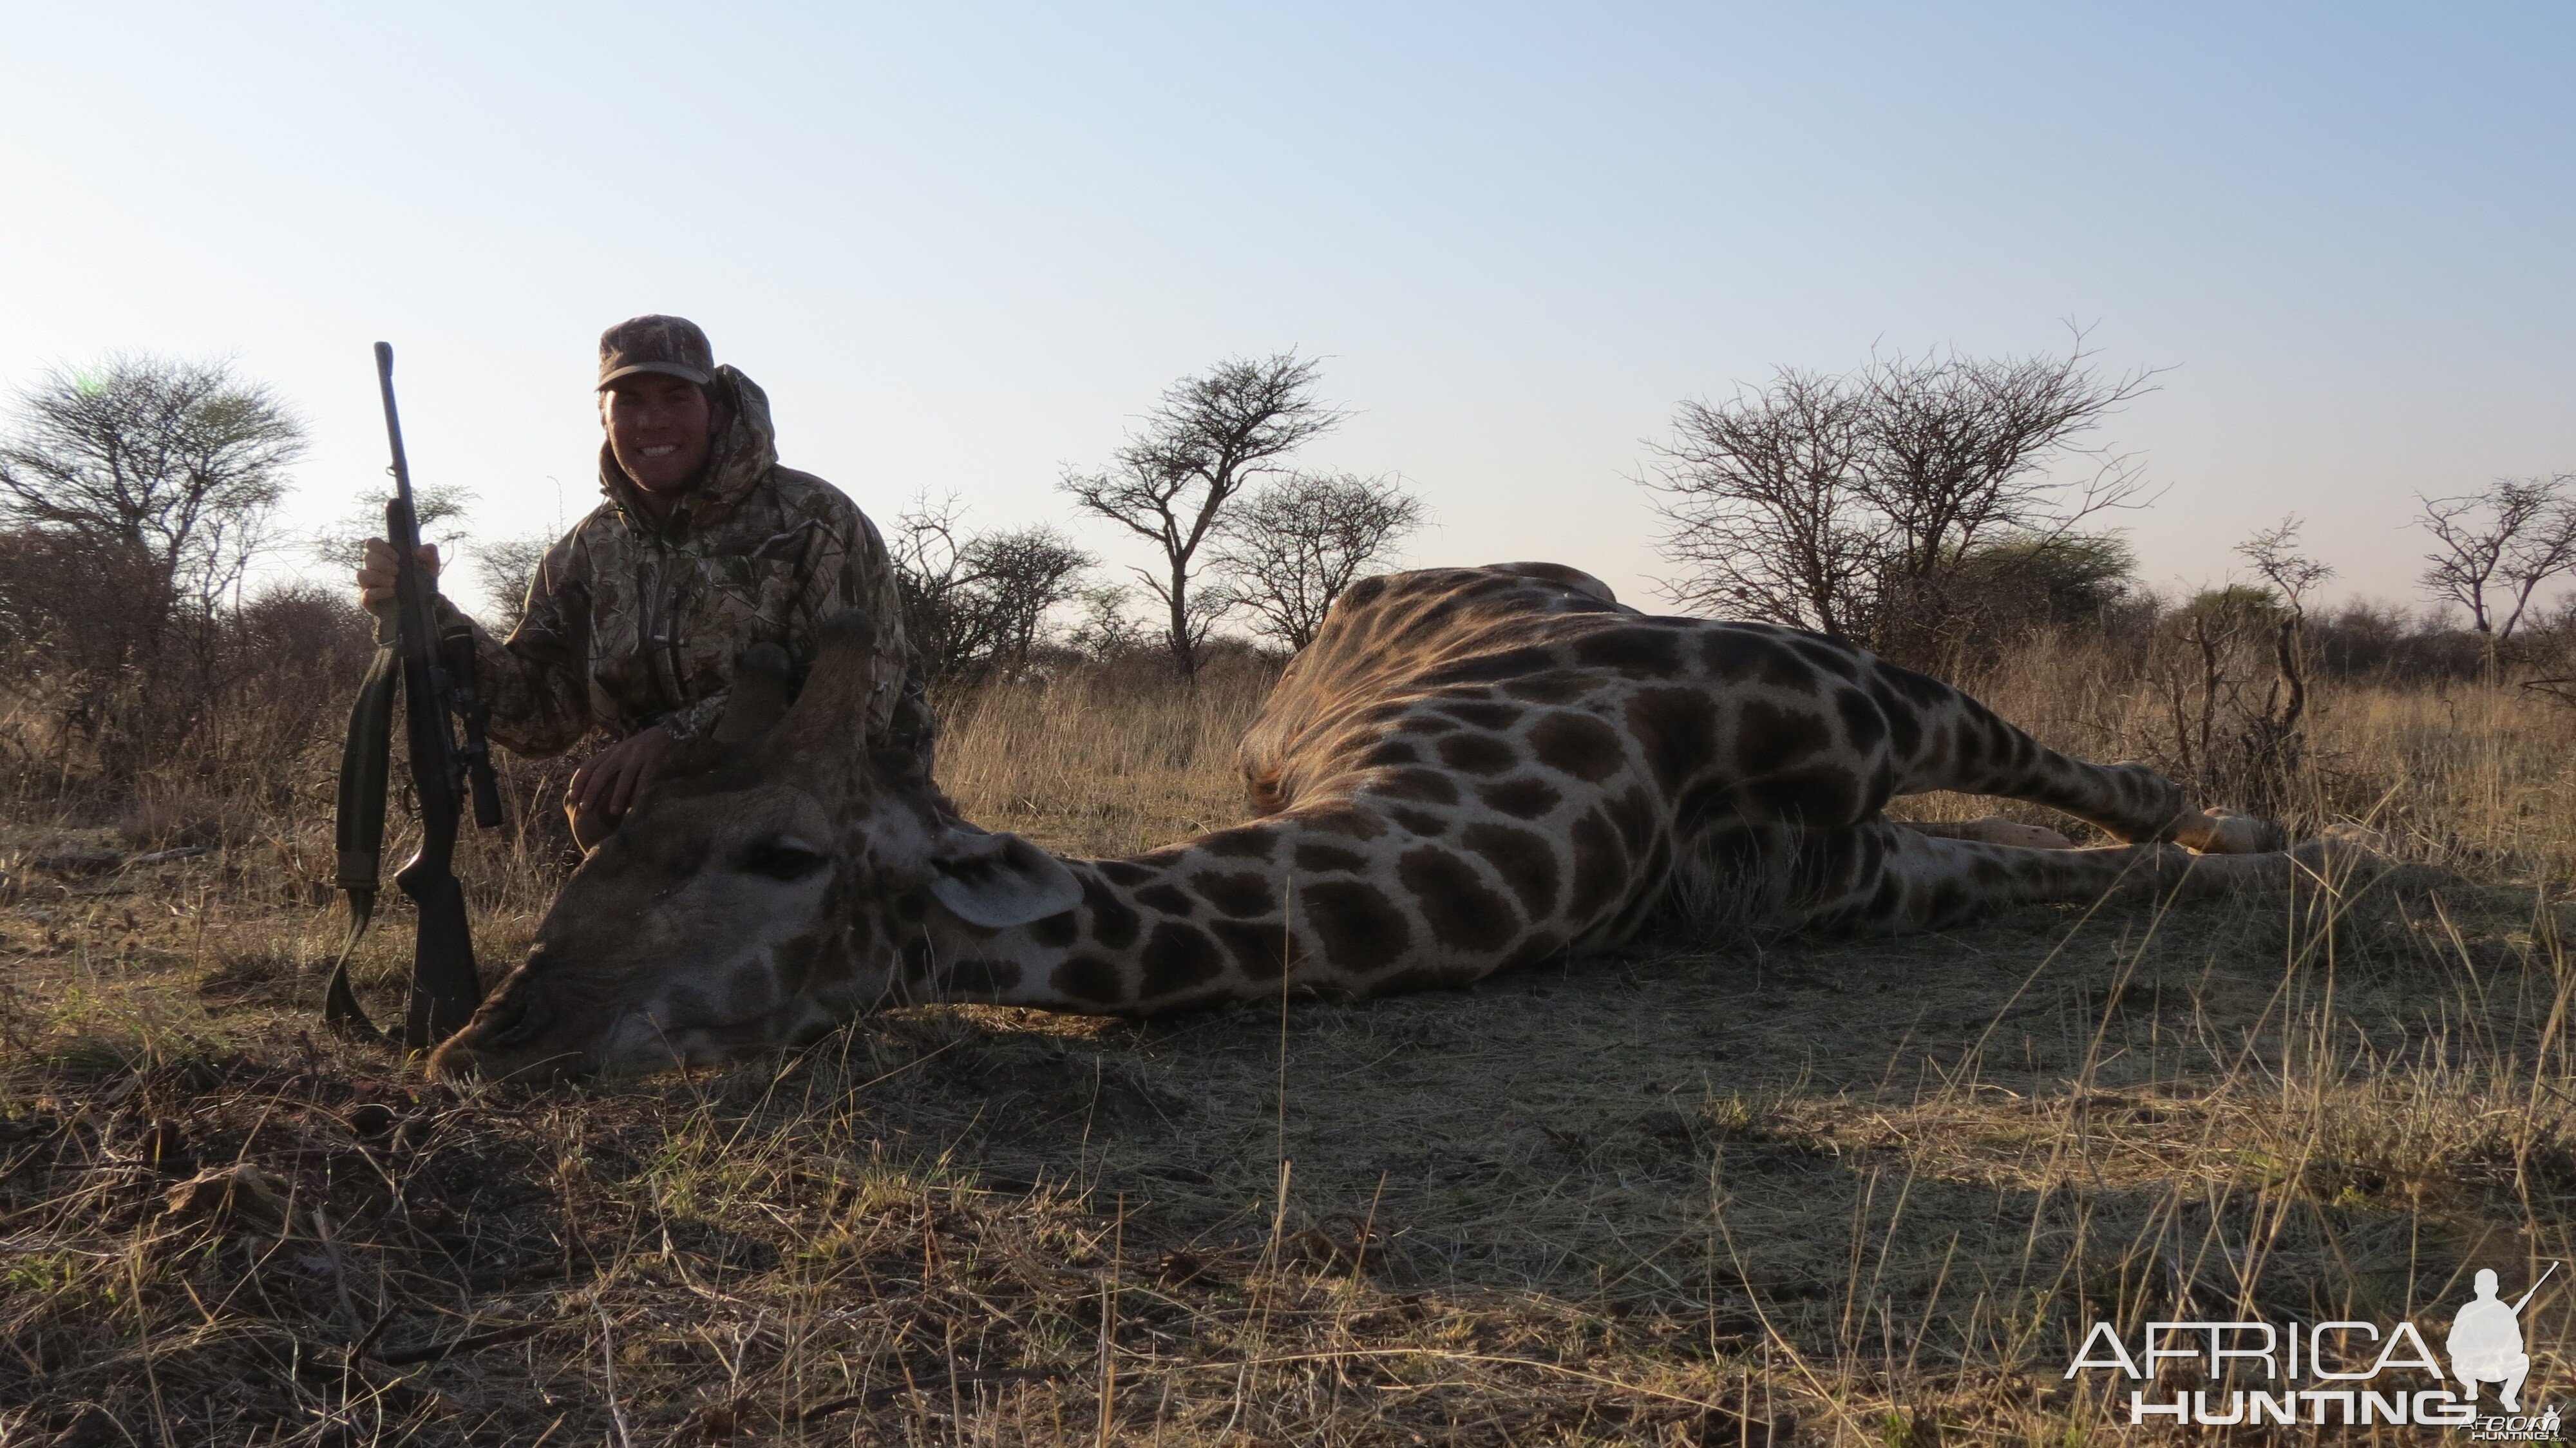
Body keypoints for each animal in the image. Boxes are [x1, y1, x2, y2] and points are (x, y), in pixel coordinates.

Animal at [428, 559, 2370, 1077]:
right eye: (593, 847)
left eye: (780, 853)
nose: (492, 1039)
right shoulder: (1816, 880)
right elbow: (2030, 866)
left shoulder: (1863, 699)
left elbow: (2106, 788)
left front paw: (2305, 846)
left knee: (2091, 777)